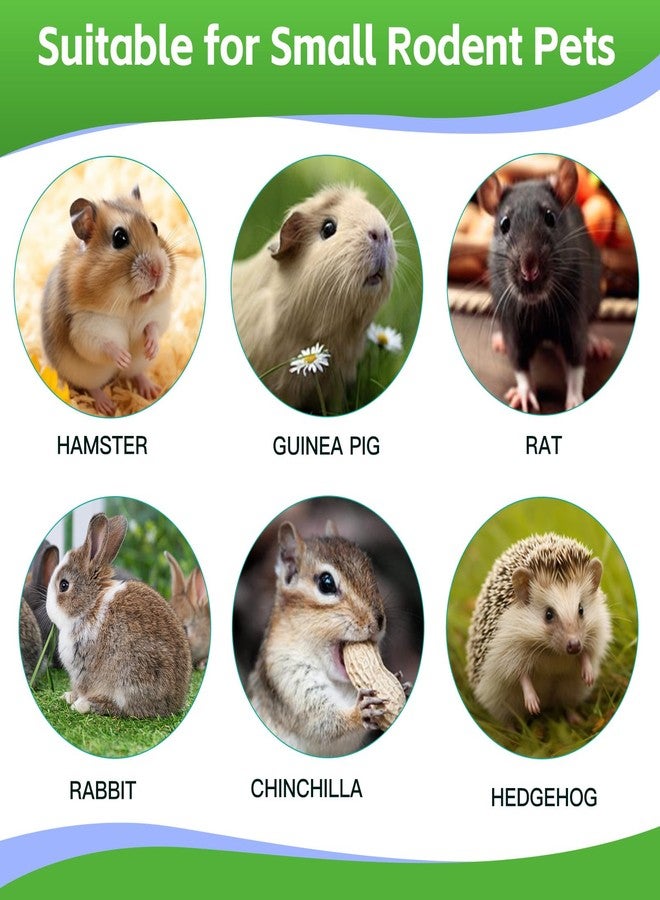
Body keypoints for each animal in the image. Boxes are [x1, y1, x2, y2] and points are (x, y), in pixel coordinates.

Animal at [41, 186, 175, 416]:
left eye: (154, 227)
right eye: (119, 238)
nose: (158, 270)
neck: (129, 306)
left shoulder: (158, 311)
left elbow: (153, 327)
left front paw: (151, 349)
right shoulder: (87, 326)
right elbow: (104, 344)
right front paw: (123, 357)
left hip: (138, 365)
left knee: (136, 373)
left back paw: (151, 390)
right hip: (84, 373)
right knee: (93, 387)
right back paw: (107, 406)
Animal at [247, 521, 395, 756]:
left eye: (370, 569)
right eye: (327, 584)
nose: (379, 621)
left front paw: (401, 683)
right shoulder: (286, 679)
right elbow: (321, 723)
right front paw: (359, 712)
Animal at [478, 157, 608, 412]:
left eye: (550, 217)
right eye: (504, 224)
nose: (529, 270)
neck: (538, 308)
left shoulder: (573, 314)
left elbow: (576, 357)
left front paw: (575, 397)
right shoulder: (512, 322)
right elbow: (518, 361)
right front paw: (524, 392)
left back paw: (595, 343)